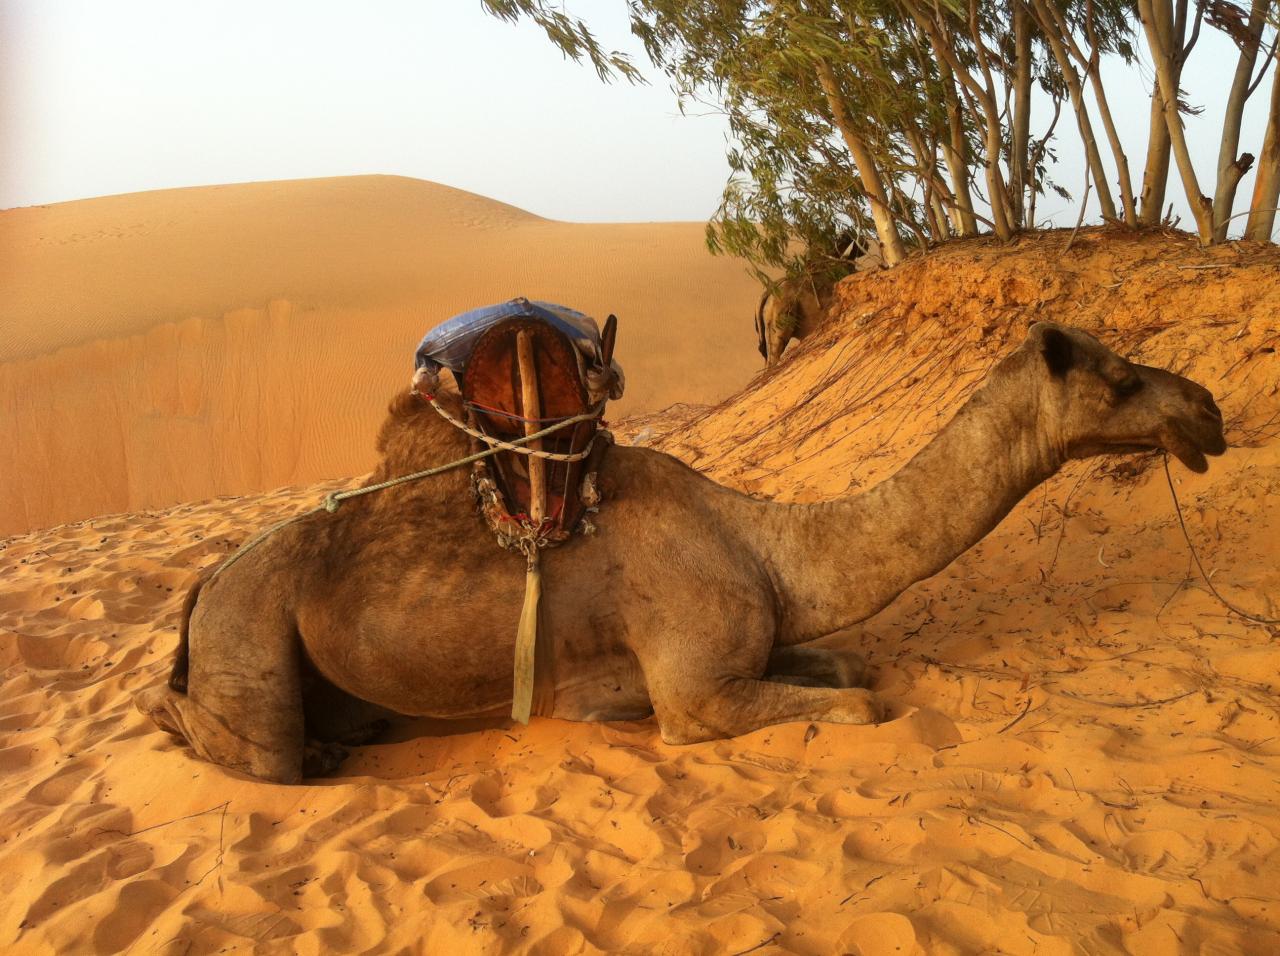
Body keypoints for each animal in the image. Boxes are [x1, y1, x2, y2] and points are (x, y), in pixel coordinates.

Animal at [135, 321, 1223, 783]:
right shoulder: (694, 692)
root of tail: (205, 583)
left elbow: (850, 666)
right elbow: (861, 703)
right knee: (248, 743)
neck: (766, 542)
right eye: (1120, 376)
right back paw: (299, 747)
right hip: (250, 634)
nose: (1207, 409)